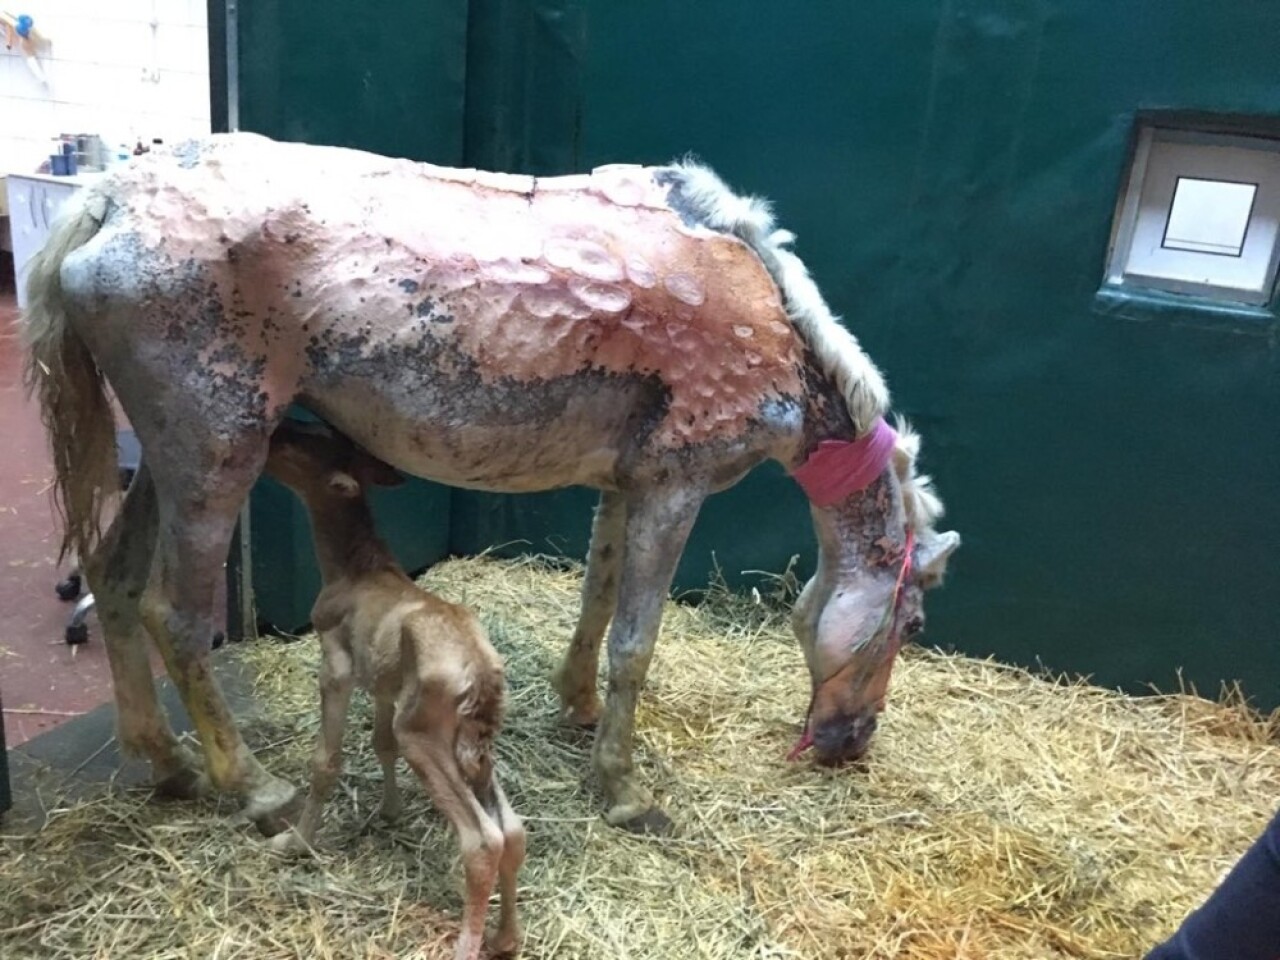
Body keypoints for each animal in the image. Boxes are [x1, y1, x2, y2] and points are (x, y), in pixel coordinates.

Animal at [22, 133, 962, 834]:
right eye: (912, 624)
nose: (849, 740)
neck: (777, 327)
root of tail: (109, 198)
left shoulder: (626, 480)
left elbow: (597, 595)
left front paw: (577, 708)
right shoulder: (677, 485)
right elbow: (636, 642)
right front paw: (622, 790)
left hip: (173, 454)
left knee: (113, 577)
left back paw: (169, 765)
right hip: (216, 450)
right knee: (174, 616)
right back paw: (252, 786)